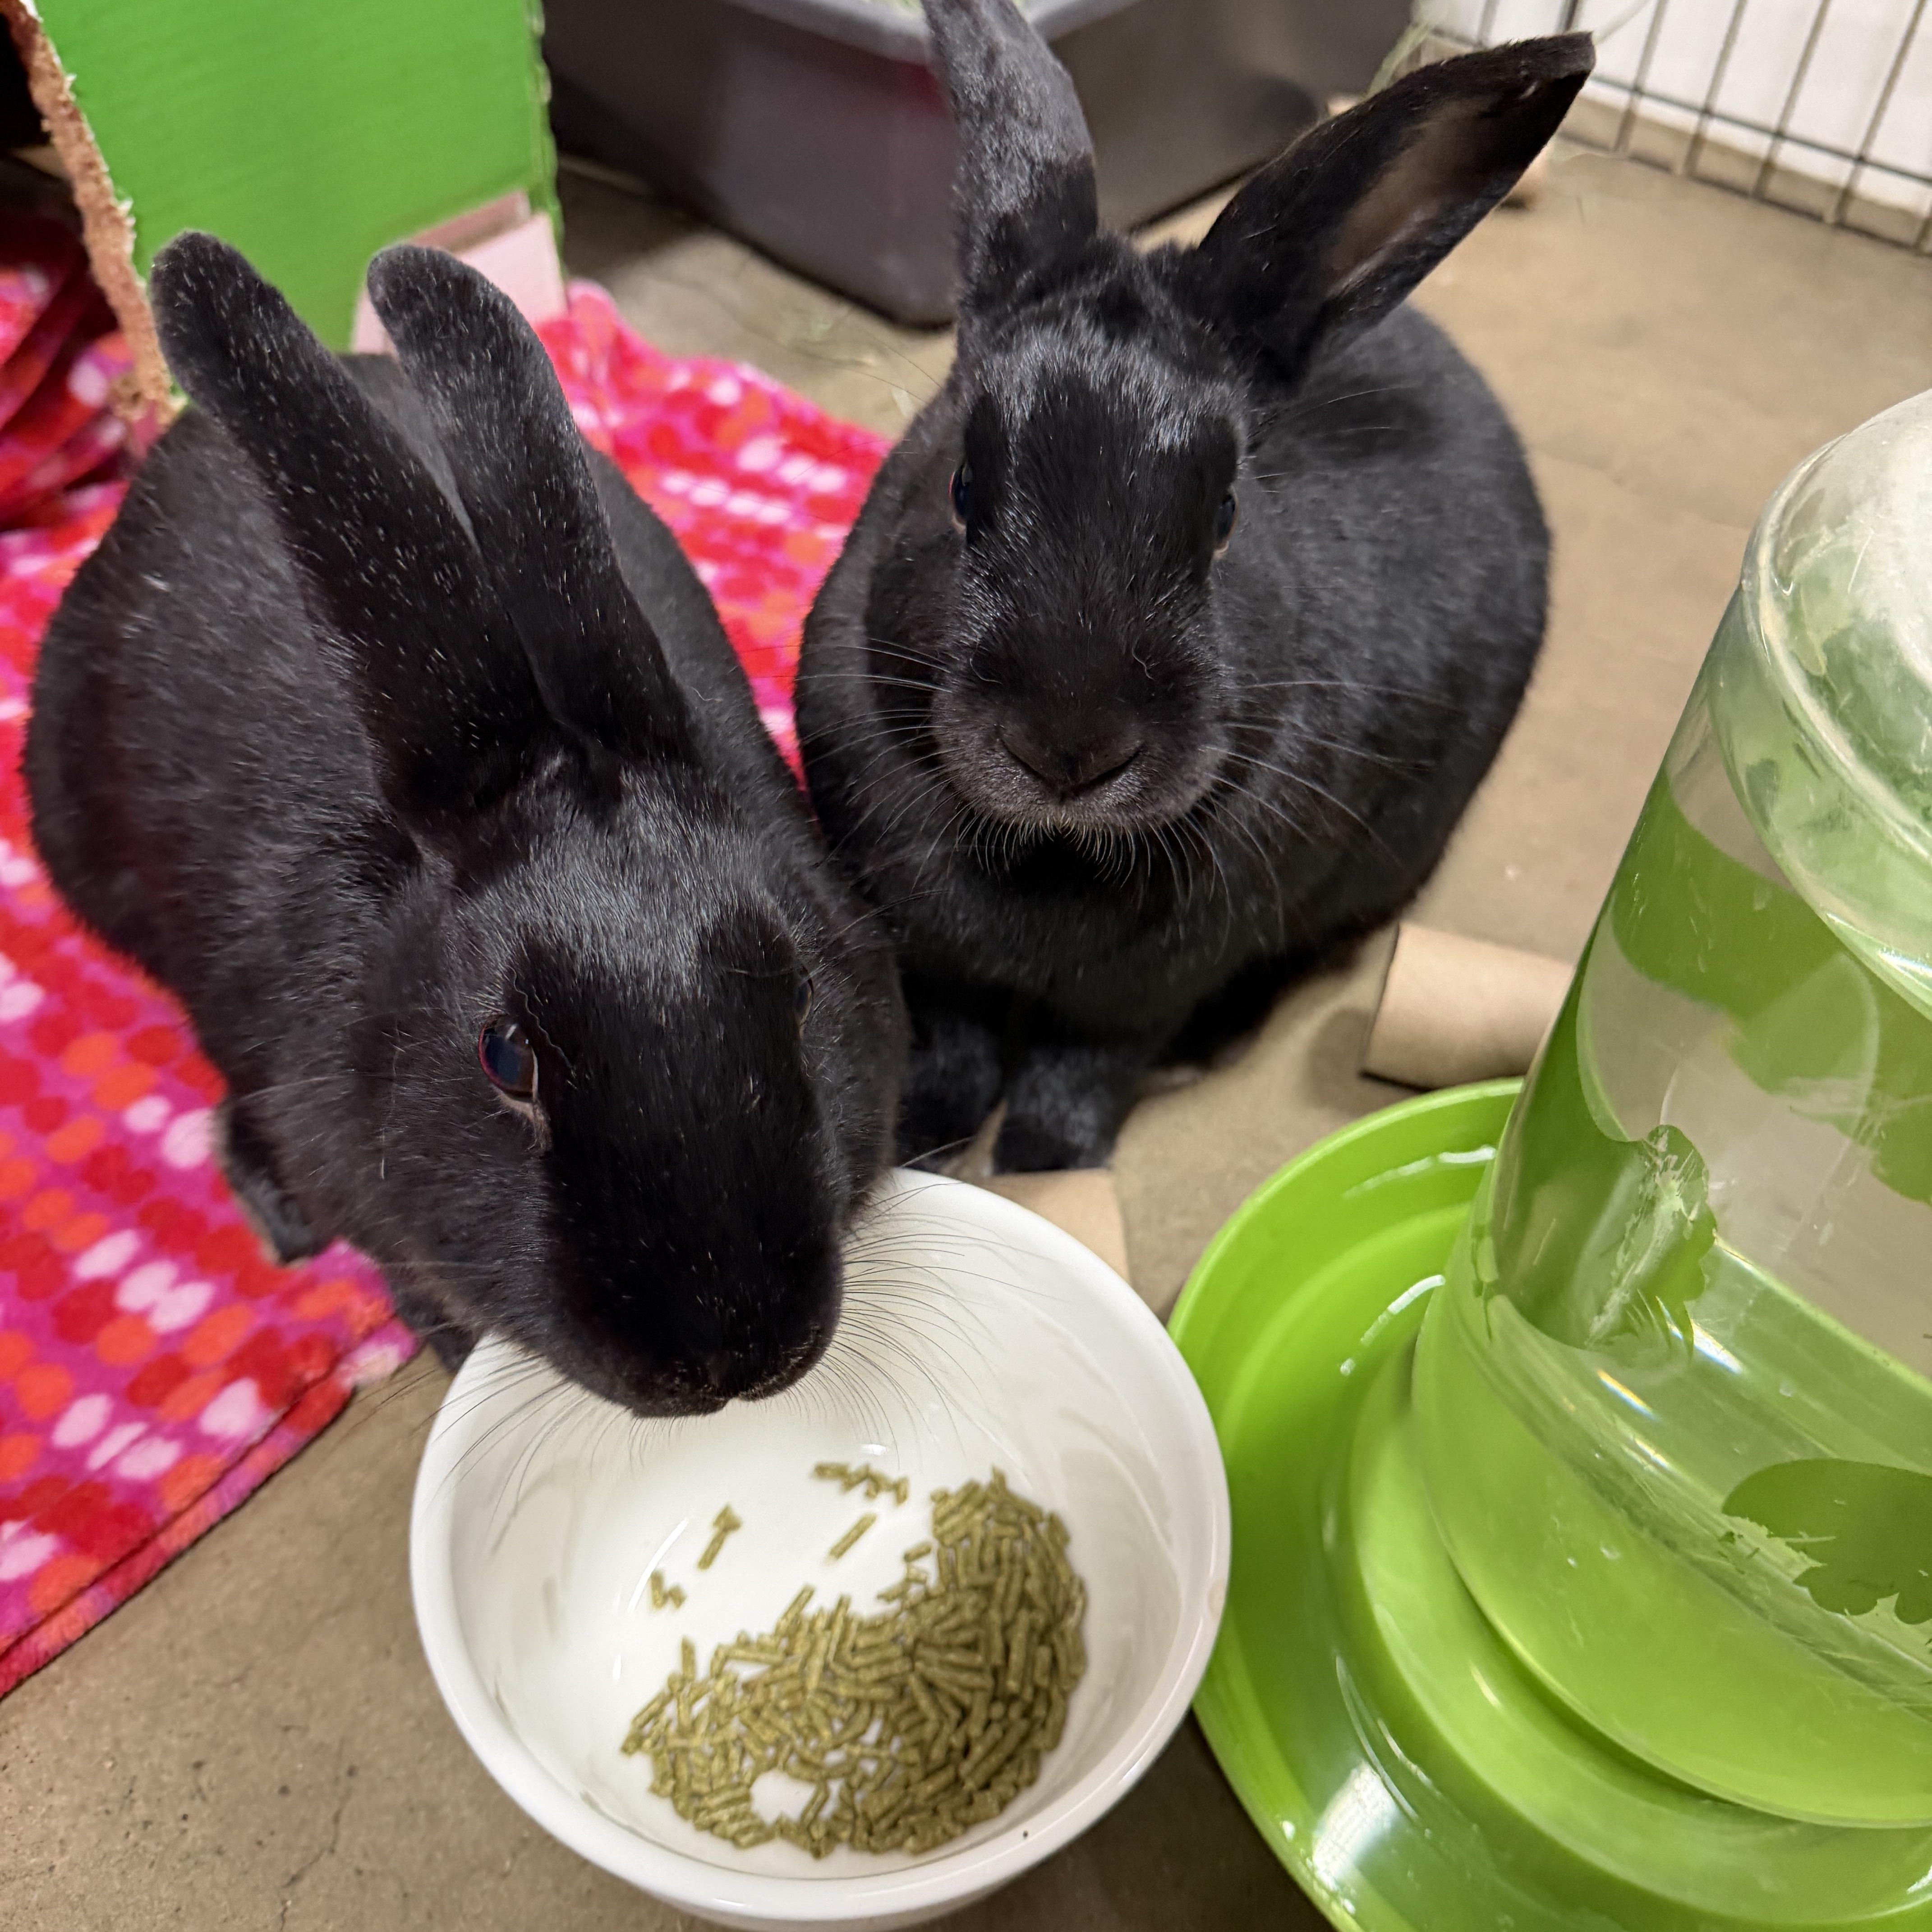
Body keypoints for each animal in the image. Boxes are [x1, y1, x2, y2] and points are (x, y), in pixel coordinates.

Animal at [794, 1, 1592, 1174]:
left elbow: (1087, 1070)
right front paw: (928, 1143)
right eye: (961, 486)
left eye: (1224, 517)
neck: (1053, 854)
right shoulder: (939, 968)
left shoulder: (1139, 998)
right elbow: (955, 1047)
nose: (1069, 747)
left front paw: (1045, 1161)